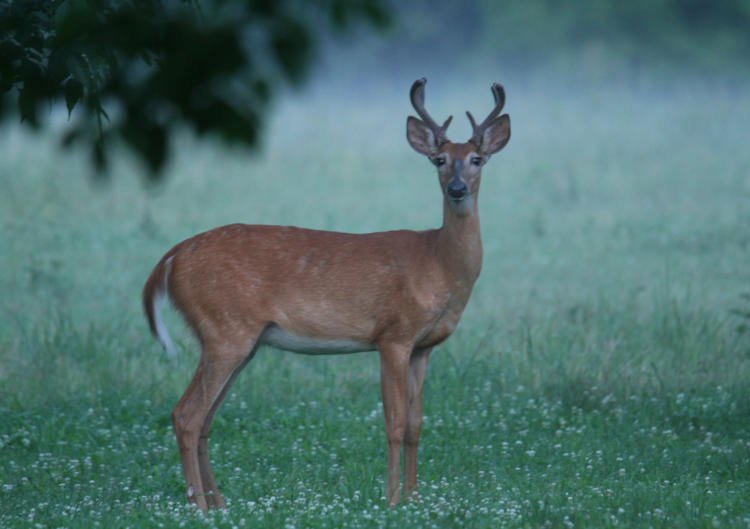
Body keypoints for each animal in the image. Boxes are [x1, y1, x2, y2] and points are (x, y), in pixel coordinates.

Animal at [142, 78, 512, 508]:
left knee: (204, 419)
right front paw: (391, 500)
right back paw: (198, 507)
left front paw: (415, 499)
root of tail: (172, 257)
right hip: (223, 329)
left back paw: (219, 504)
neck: (438, 264)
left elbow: (417, 424)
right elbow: (394, 422)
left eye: (477, 159)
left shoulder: (424, 347)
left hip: (237, 340)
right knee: (186, 414)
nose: (456, 188)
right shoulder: (393, 335)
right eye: (438, 159)